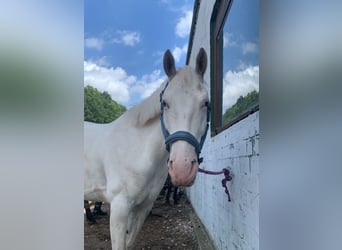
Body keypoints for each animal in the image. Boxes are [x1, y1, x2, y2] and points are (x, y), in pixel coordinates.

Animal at [84, 47, 210, 249]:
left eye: (206, 103)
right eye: (165, 103)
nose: (182, 168)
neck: (136, 149)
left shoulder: (143, 208)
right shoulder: (119, 207)